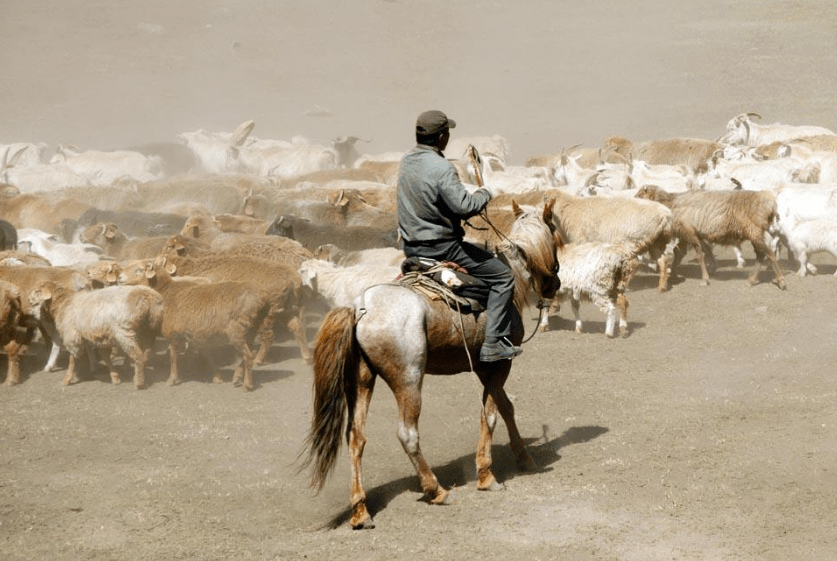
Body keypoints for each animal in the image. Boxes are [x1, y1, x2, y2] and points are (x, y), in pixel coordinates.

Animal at [29, 280, 163, 390]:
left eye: (37, 291)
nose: (29, 300)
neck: (63, 304)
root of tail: (148, 299)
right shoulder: (96, 336)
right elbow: (105, 357)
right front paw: (114, 377)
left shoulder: (72, 336)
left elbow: (72, 360)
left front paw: (67, 379)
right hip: (149, 331)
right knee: (145, 355)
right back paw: (141, 377)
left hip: (124, 331)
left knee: (138, 356)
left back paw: (139, 383)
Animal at [113, 258, 272, 390]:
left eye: (139, 269)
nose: (119, 278)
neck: (166, 292)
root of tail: (263, 298)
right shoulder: (198, 335)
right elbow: (208, 356)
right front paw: (217, 377)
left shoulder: (173, 334)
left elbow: (173, 357)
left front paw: (172, 379)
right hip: (250, 329)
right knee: (248, 353)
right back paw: (237, 377)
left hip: (237, 330)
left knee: (248, 355)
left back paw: (247, 385)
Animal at [302, 198, 560, 528]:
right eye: (555, 236)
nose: (555, 284)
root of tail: (360, 307)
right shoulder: (499, 364)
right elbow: (490, 415)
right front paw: (487, 475)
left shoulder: (484, 368)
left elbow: (505, 408)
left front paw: (523, 458)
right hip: (409, 379)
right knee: (407, 433)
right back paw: (435, 489)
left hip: (361, 380)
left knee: (355, 437)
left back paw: (360, 510)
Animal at [636, 185, 788, 288]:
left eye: (639, 195)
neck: (669, 203)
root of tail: (770, 201)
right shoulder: (690, 233)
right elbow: (684, 252)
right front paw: (674, 275)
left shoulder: (689, 232)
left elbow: (699, 255)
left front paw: (705, 279)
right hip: (755, 234)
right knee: (761, 255)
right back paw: (752, 280)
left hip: (754, 232)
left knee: (769, 254)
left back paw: (780, 280)